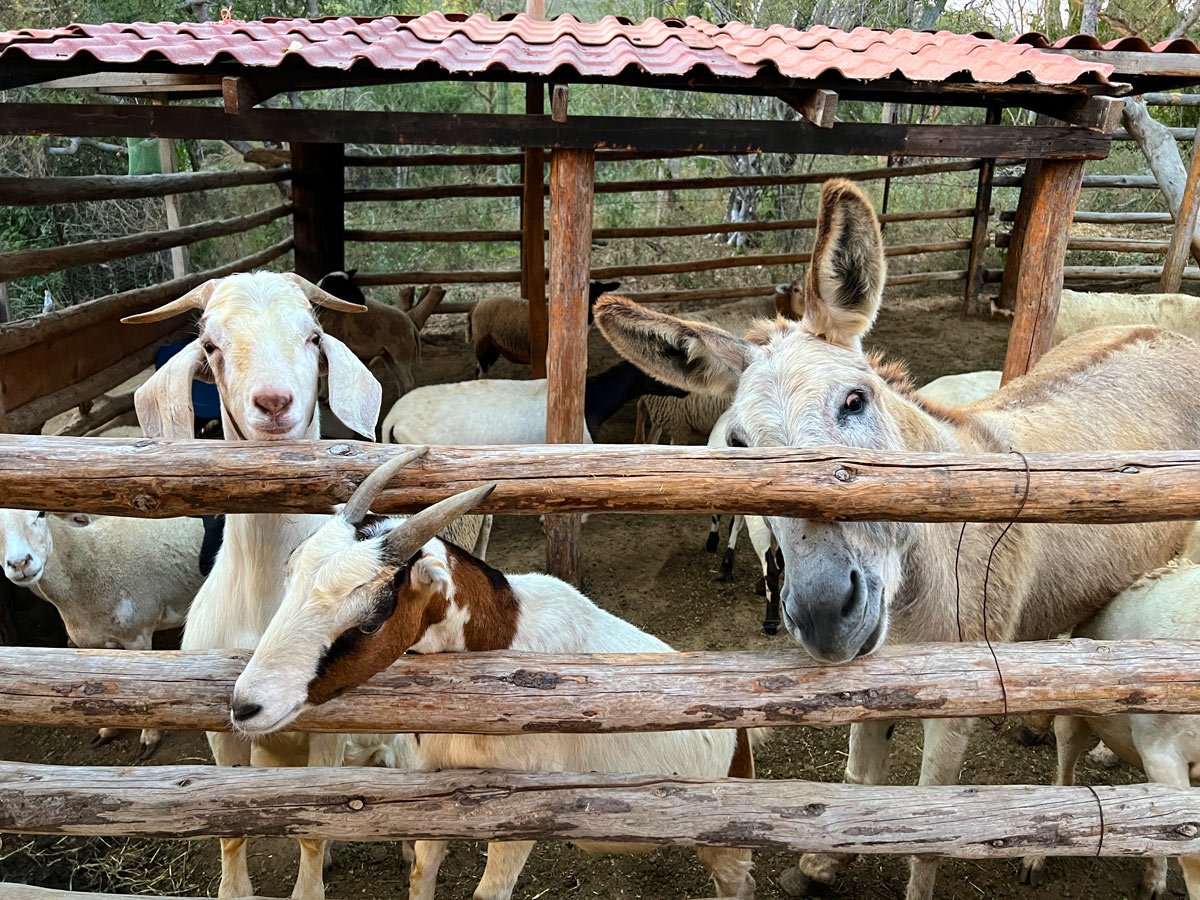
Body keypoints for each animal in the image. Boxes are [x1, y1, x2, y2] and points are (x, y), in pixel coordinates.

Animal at [0, 509, 204, 756]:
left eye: (40, 513)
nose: (20, 563)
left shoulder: (137, 635)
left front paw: (149, 737)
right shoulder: (91, 643)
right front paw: (108, 729)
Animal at [123, 270, 410, 900]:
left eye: (313, 335)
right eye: (210, 345)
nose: (275, 403)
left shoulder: (329, 733)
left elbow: (314, 832)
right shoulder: (222, 729)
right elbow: (233, 826)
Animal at [231, 452, 757, 900]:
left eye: (372, 619)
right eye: (291, 576)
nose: (245, 706)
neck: (505, 637)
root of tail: (743, 741)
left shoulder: (521, 809)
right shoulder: (435, 787)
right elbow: (422, 872)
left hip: (725, 834)